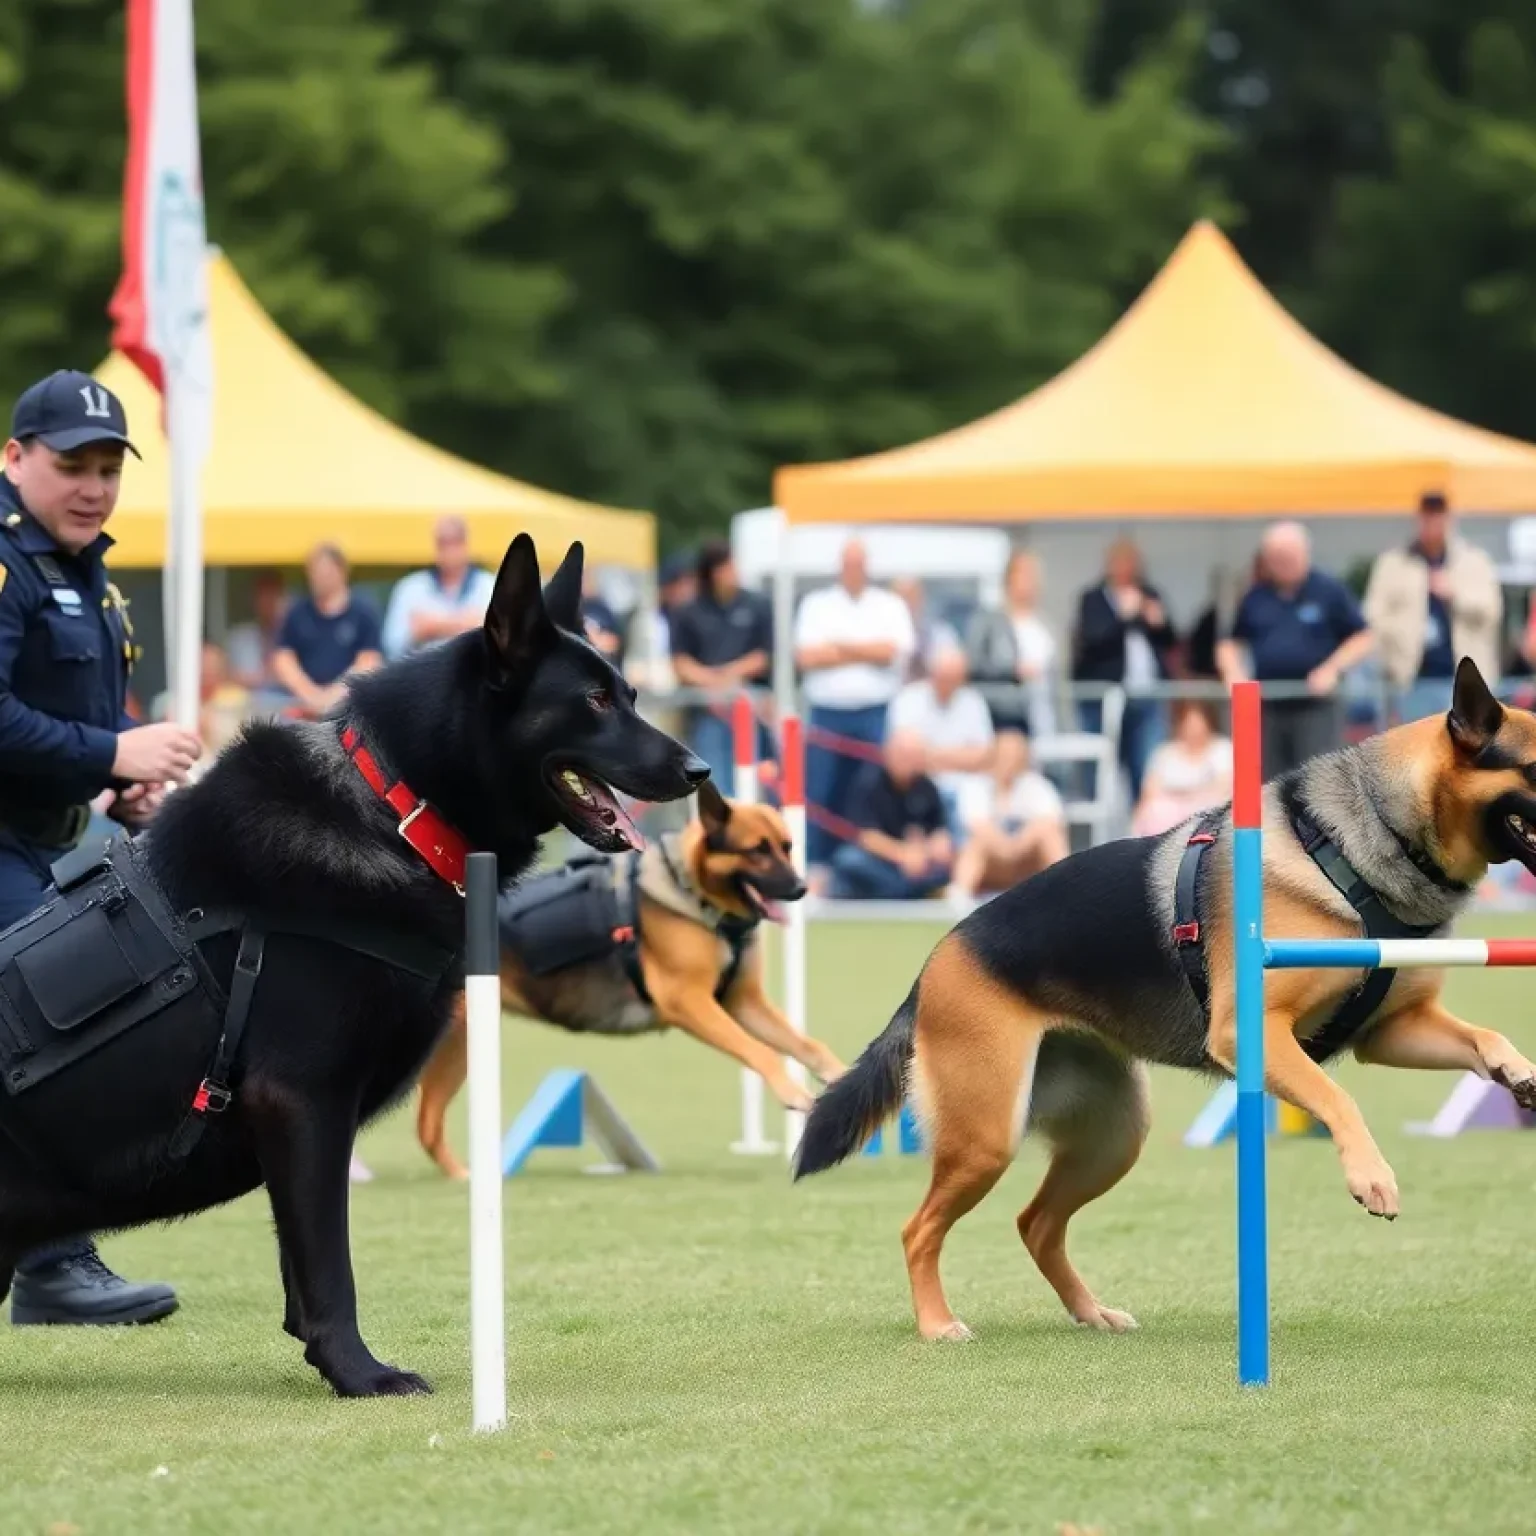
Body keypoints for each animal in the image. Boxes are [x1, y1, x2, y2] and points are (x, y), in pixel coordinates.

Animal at [0, 534, 703, 1400]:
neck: (400, 806)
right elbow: (330, 1263)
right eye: (597, 702)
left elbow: (302, 1269)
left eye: (632, 693)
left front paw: (327, 1358)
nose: (702, 771)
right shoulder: (303, 1099)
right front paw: (359, 1371)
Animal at [417, 780, 841, 1173]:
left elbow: (810, 1046)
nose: (802, 889)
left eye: (787, 846)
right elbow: (761, 1051)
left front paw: (839, 1078)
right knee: (427, 1123)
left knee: (426, 1125)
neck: (692, 891)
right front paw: (792, 1092)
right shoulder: (689, 1004)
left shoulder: (744, 1004)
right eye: (757, 850)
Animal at [798, 660, 1536, 1345]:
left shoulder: (1391, 1030)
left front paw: (1518, 1074)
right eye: (1535, 766)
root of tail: (934, 963)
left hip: (1113, 1138)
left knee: (1036, 1223)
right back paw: (936, 1323)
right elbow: (1340, 1098)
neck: (1363, 837)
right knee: (919, 1228)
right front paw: (1371, 1176)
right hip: (987, 1135)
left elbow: (1485, 1038)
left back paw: (1090, 1312)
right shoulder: (1254, 1032)